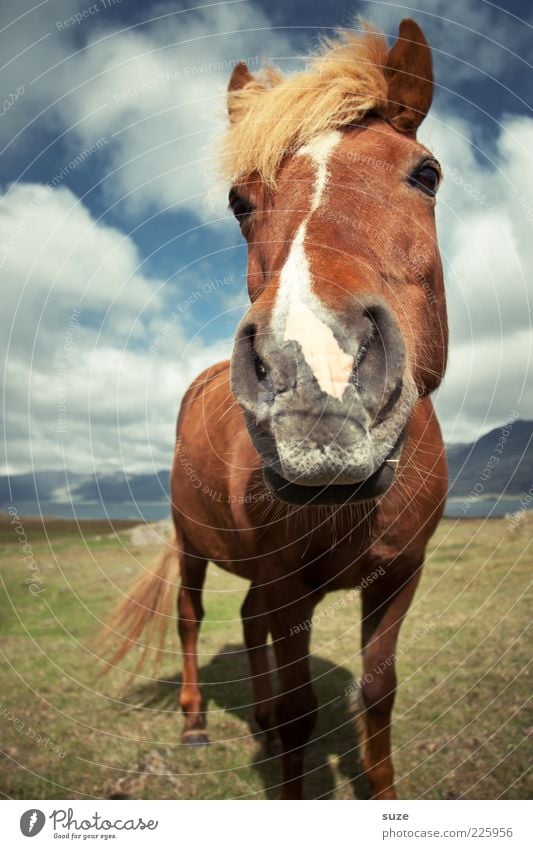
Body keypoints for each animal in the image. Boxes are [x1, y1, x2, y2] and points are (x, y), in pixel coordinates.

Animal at [98, 16, 444, 800]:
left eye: (426, 174)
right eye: (238, 200)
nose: (317, 375)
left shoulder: (400, 576)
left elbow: (377, 692)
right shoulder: (290, 585)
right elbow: (297, 712)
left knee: (249, 620)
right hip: (192, 546)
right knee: (193, 618)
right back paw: (196, 723)